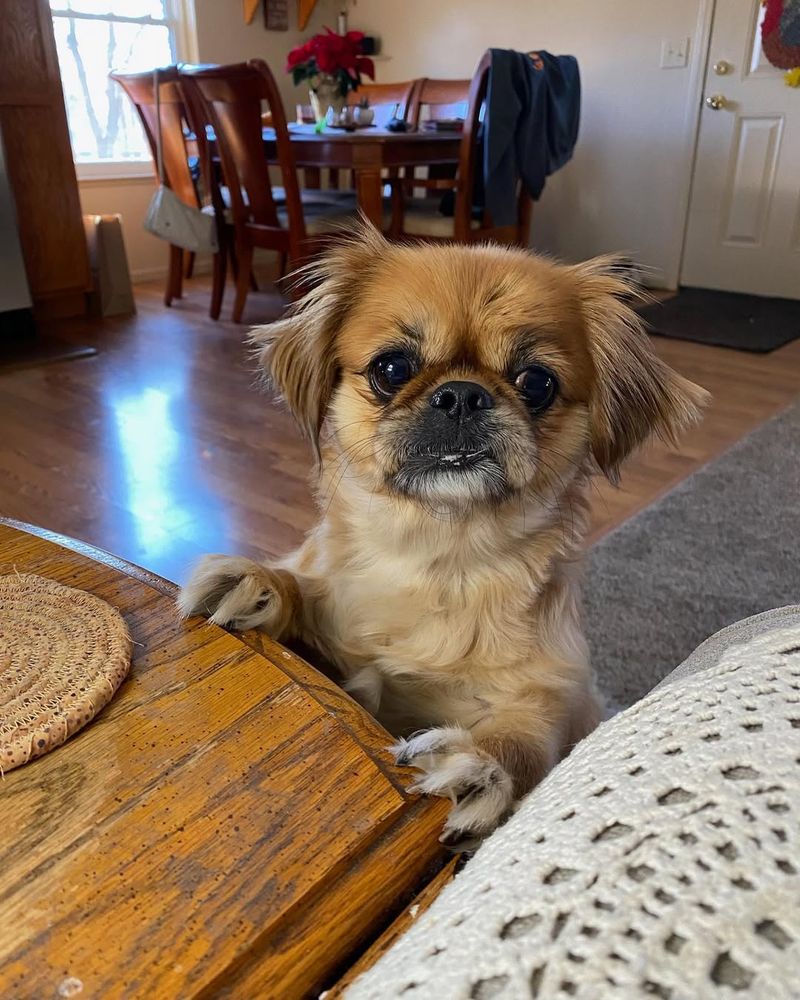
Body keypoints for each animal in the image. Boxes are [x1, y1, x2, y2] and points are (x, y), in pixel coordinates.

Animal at [177, 229, 708, 852]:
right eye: (392, 367)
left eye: (537, 383)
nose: (461, 395)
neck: (437, 554)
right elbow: (303, 595)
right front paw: (257, 584)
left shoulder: (551, 693)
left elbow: (523, 737)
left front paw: (478, 764)